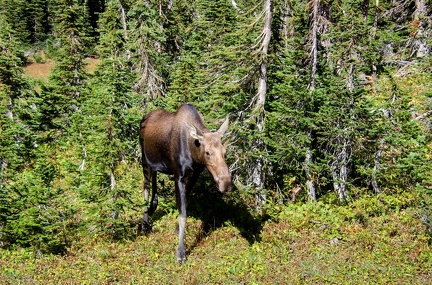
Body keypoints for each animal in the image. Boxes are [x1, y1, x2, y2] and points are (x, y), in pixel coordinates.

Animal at [139, 103, 233, 262]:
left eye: (225, 152)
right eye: (207, 152)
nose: (226, 184)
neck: (194, 154)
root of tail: (144, 117)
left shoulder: (193, 176)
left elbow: (184, 207)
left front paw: (177, 231)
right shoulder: (179, 177)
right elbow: (183, 215)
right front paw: (180, 253)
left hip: (155, 164)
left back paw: (151, 211)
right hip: (144, 160)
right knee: (145, 189)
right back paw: (144, 225)